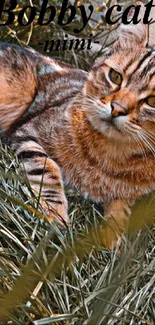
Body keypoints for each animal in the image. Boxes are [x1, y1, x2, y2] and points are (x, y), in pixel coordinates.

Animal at [0, 18, 155, 246]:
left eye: (152, 100)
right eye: (115, 77)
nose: (117, 108)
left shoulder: (128, 196)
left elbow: (122, 210)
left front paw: (114, 239)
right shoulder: (28, 131)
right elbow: (47, 169)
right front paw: (56, 216)